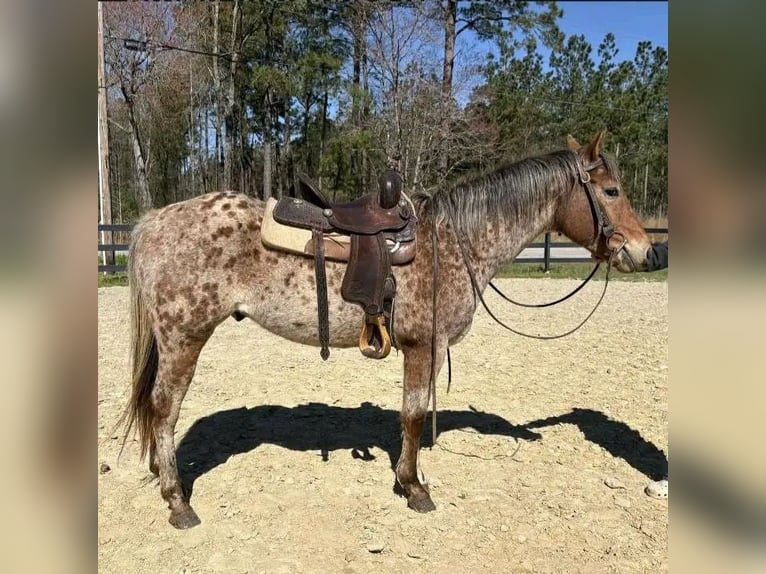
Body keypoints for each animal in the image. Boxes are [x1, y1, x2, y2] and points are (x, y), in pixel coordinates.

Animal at [120, 130, 652, 529]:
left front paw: (407, 480)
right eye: (611, 192)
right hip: (184, 339)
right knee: (164, 409)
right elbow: (413, 415)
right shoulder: (423, 347)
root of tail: (152, 221)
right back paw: (178, 501)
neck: (454, 241)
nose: (647, 251)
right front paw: (414, 487)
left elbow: (411, 415)